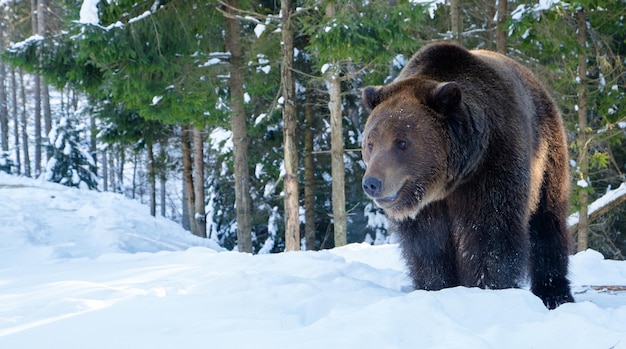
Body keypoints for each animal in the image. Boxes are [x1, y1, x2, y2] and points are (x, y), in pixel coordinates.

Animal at [360, 42, 572, 308]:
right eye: (370, 142)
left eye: (402, 142)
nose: (372, 183)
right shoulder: (426, 208)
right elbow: (428, 246)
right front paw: (435, 287)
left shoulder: (493, 166)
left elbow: (490, 236)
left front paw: (488, 290)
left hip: (546, 157)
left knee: (547, 223)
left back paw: (555, 293)